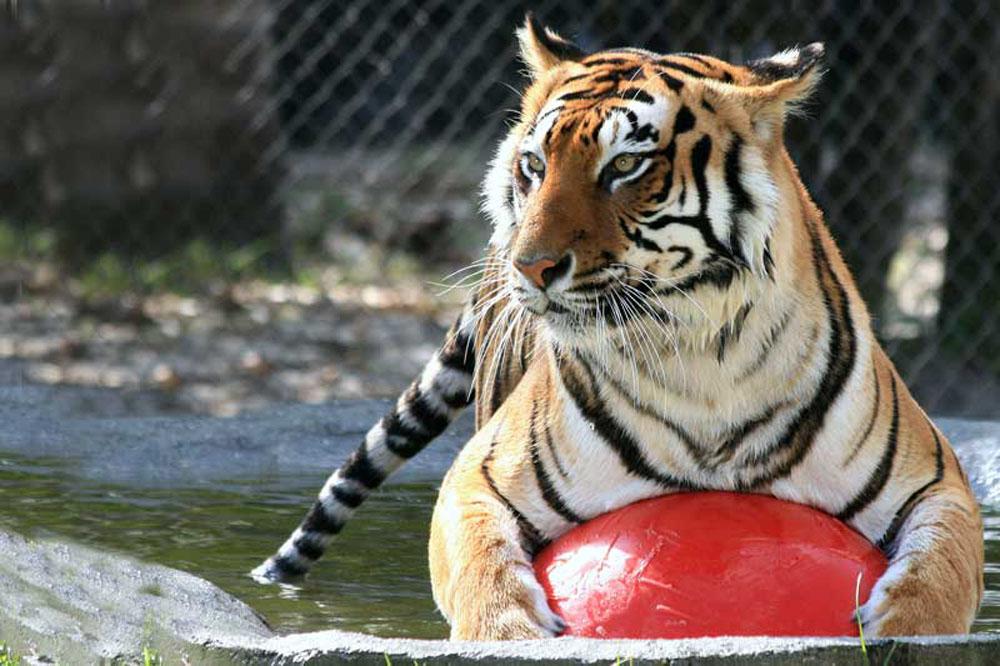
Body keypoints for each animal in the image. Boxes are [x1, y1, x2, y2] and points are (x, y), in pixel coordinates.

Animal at [256, 14, 984, 640]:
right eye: (534, 165)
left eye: (626, 166)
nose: (532, 265)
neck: (704, 354)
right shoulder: (479, 477)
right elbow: (482, 570)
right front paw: (511, 632)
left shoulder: (938, 484)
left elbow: (940, 574)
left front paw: (900, 629)